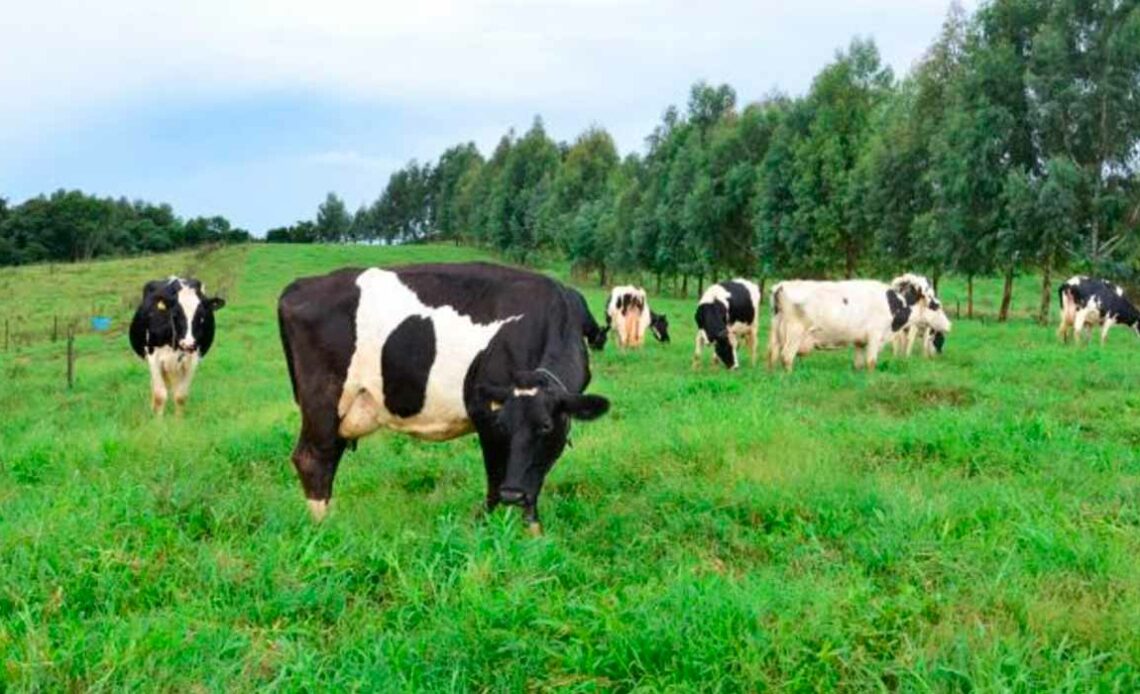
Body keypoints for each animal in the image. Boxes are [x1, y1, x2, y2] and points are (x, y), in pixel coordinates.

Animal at [128, 275, 224, 414]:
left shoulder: (193, 359)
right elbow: (159, 395)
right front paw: (158, 418)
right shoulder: (153, 356)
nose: (188, 344)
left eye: (202, 316)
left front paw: (178, 419)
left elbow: (180, 396)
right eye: (175, 314)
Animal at [277, 260, 611, 531]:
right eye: (504, 425)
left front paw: (534, 535)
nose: (512, 493)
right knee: (313, 458)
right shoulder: (485, 413)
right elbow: (495, 479)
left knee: (328, 456)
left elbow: (534, 480)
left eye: (545, 426)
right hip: (323, 399)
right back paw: (325, 529)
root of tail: (302, 284)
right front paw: (483, 529)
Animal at [766, 276, 953, 371]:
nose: (950, 325)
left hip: (776, 332)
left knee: (772, 356)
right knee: (786, 357)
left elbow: (858, 364)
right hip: (795, 333)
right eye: (936, 306)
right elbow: (871, 362)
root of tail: (781, 285)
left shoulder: (859, 342)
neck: (892, 304)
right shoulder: (875, 336)